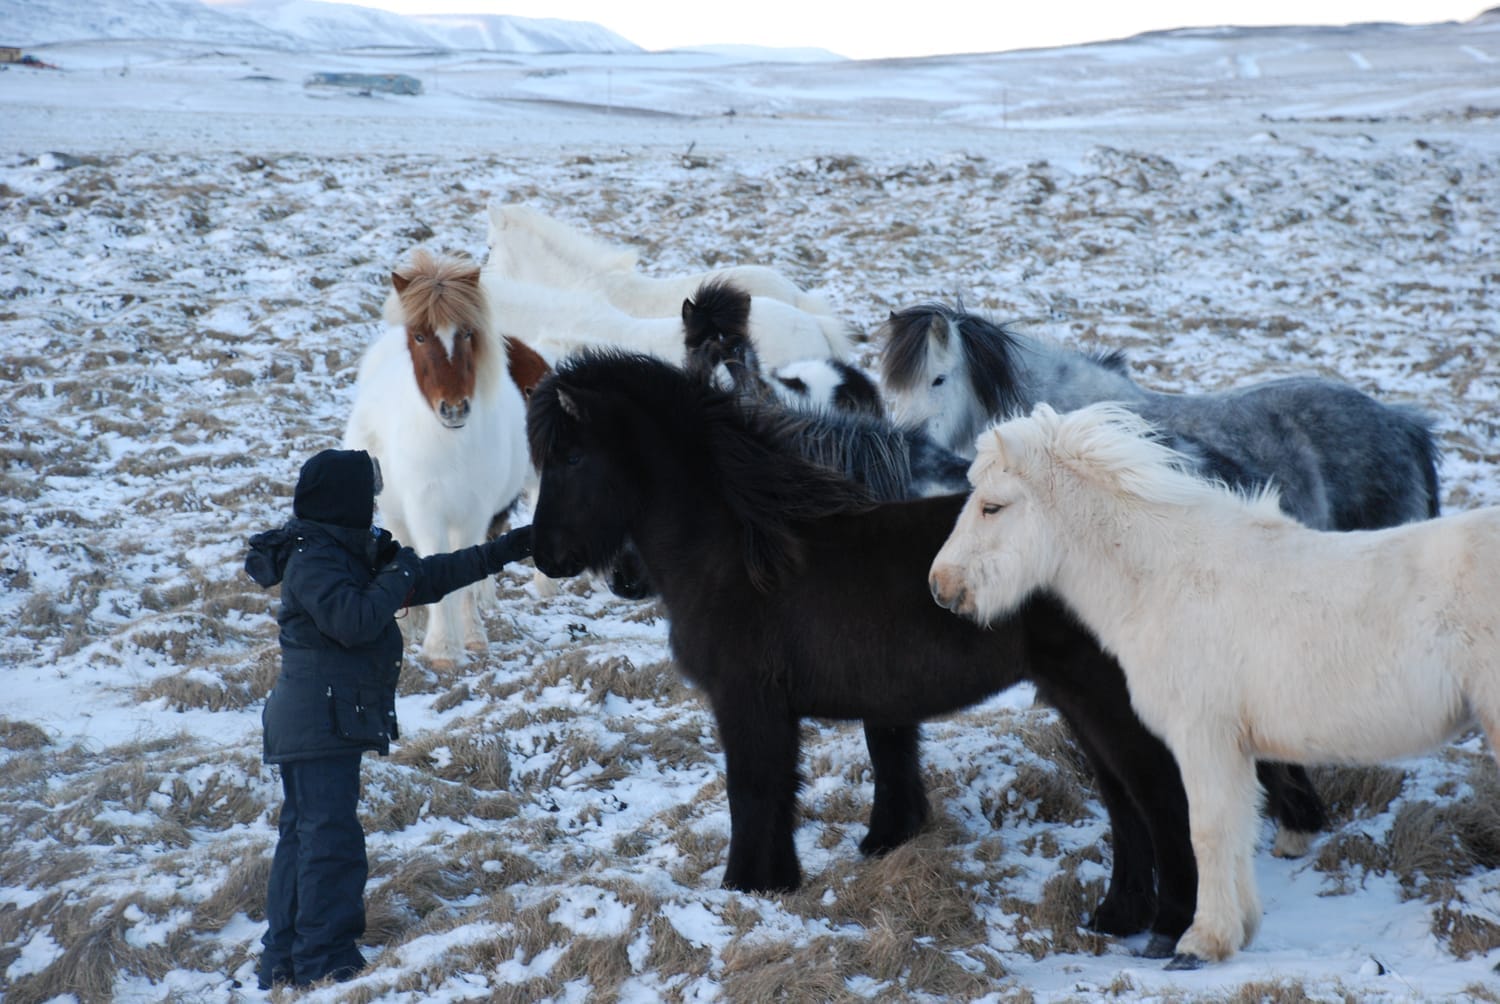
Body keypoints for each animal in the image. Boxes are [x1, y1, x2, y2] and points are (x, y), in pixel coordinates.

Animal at [343, 249, 529, 666]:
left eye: (467, 333)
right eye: (420, 335)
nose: (454, 409)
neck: (451, 444)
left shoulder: (476, 511)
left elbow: (466, 571)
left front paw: (472, 637)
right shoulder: (426, 510)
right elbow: (429, 564)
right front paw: (442, 648)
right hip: (395, 509)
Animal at [526, 349, 1325, 956]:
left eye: (571, 456)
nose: (550, 557)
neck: (743, 552)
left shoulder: (748, 703)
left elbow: (753, 792)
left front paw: (747, 887)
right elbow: (829, 783)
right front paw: (790, 877)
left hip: (1108, 704)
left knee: (1160, 797)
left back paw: (1168, 928)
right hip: (1082, 703)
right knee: (1127, 805)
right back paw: (1116, 917)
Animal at [930, 402, 1500, 968]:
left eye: (992, 507)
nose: (940, 585)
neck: (1166, 579)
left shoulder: (1201, 736)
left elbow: (1205, 829)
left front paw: (1200, 942)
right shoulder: (1235, 747)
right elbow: (1237, 829)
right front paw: (1238, 932)